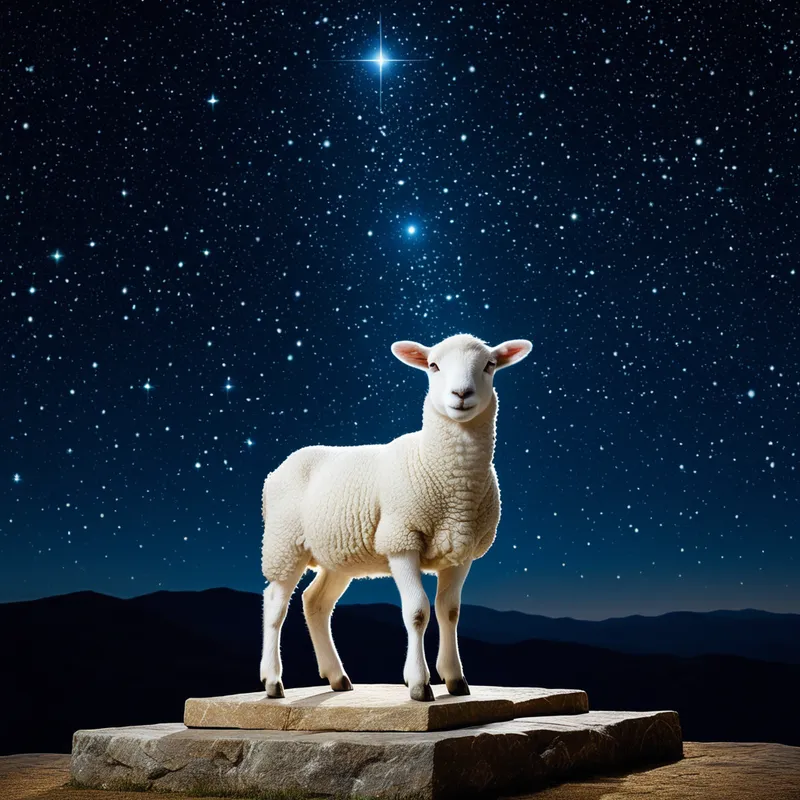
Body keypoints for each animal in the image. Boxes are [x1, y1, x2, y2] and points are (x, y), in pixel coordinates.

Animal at [260, 333, 532, 701]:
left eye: (489, 365)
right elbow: (417, 611)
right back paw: (273, 681)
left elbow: (449, 611)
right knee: (275, 605)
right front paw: (418, 684)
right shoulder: (401, 540)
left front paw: (455, 679)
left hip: (338, 556)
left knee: (315, 602)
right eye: (433, 366)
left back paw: (336, 677)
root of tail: (278, 468)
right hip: (284, 543)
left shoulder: (461, 550)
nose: (461, 394)